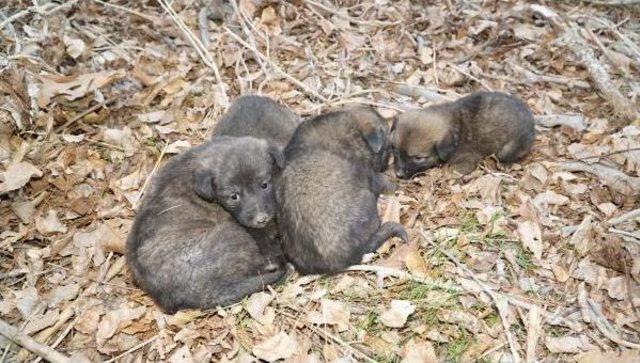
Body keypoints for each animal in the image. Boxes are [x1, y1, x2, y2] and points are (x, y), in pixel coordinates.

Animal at [276, 106, 408, 274]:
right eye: (385, 148)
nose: (386, 162)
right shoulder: (369, 175)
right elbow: (381, 181)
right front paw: (394, 185)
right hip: (367, 202)